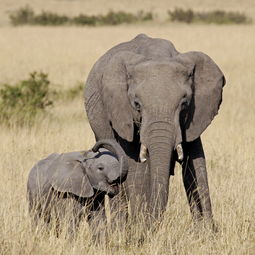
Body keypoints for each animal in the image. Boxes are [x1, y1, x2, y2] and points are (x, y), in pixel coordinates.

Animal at [84, 34, 226, 223]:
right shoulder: (122, 113)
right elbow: (137, 168)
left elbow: (196, 165)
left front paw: (208, 230)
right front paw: (142, 228)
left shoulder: (193, 118)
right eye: (136, 104)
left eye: (184, 103)